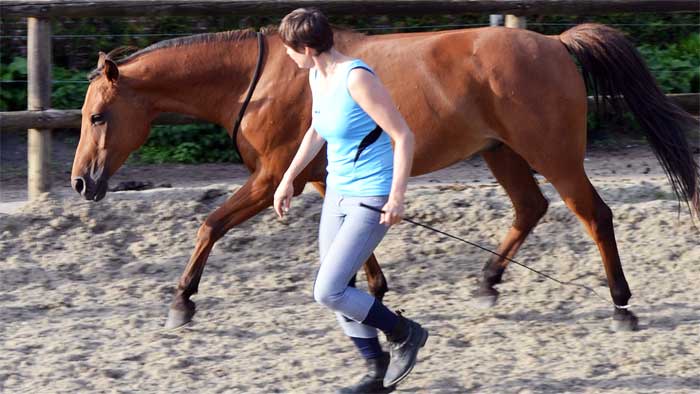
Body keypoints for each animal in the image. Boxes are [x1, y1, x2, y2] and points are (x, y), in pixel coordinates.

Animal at [72, 23, 700, 332]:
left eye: (97, 116)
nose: (82, 183)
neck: (265, 77)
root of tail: (554, 43)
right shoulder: (317, 174)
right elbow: (354, 234)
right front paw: (372, 289)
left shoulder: (272, 177)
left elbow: (209, 225)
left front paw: (182, 300)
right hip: (501, 153)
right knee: (530, 209)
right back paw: (487, 282)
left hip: (554, 154)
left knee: (594, 215)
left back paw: (620, 305)